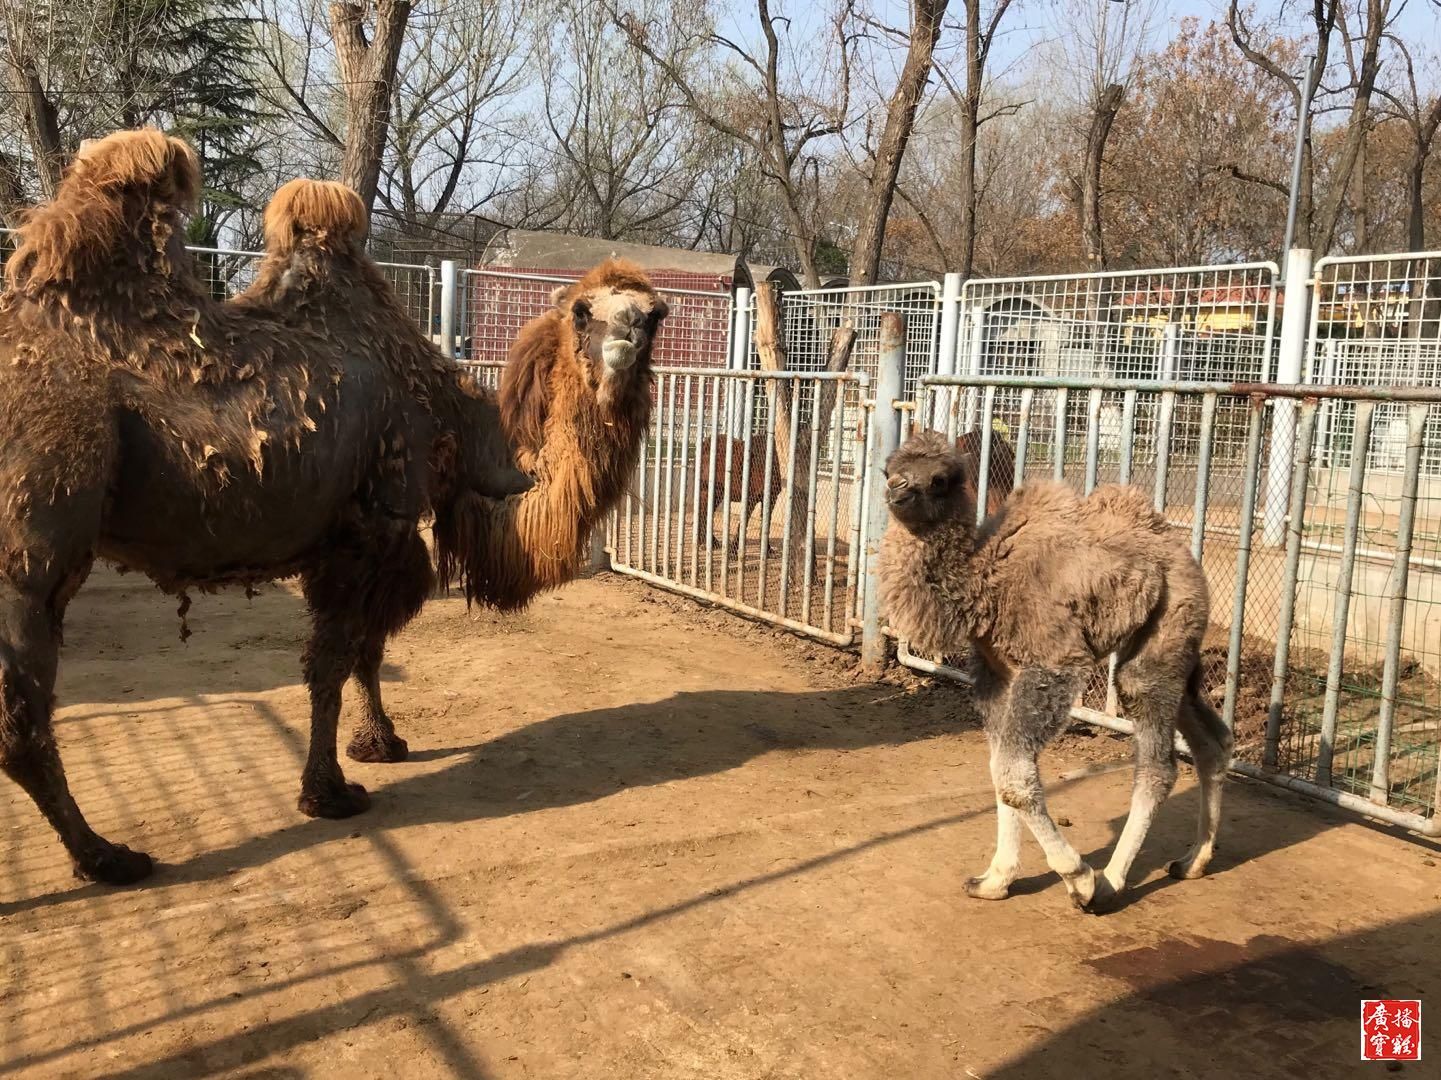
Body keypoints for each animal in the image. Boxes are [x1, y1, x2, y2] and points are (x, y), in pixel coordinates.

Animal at [0, 130, 662, 888]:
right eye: (583, 312)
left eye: (654, 313)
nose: (626, 342)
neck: (460, 426)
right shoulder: (370, 525)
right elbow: (332, 662)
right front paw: (330, 793)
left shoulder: (379, 538)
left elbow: (367, 650)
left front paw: (379, 742)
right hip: (33, 543)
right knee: (22, 717)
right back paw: (107, 857)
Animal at [881, 429, 1233, 911]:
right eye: (889, 469)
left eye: (938, 480)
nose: (896, 491)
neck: (984, 579)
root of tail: (1183, 555)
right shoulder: (997, 675)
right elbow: (1000, 770)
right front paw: (994, 880)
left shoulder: (1052, 662)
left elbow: (1013, 773)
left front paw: (1078, 877)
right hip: (1181, 656)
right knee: (1211, 740)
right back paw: (1193, 860)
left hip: (1161, 640)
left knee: (1157, 763)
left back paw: (1109, 883)